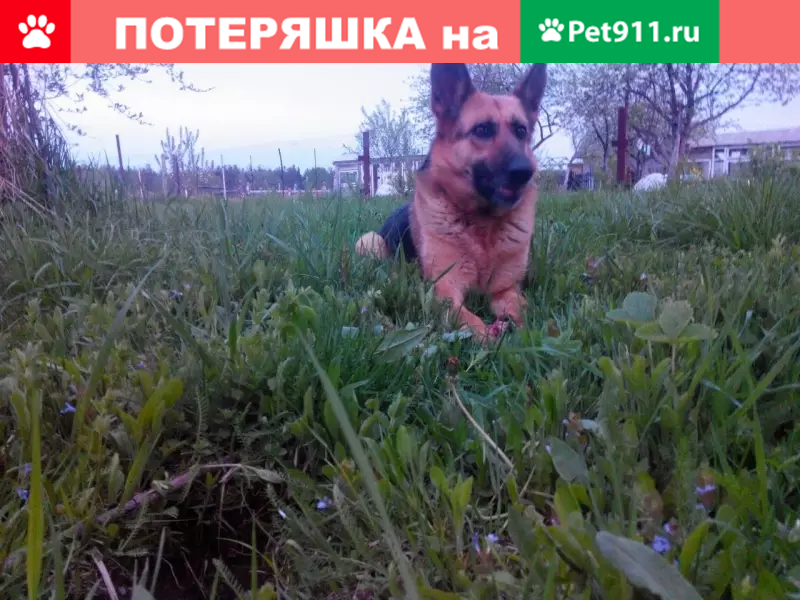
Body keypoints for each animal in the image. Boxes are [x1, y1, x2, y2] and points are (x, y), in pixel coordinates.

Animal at [355, 63, 547, 342]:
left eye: (520, 131)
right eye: (482, 130)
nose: (525, 172)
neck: (483, 224)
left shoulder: (506, 289)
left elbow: (522, 308)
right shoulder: (445, 288)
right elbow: (468, 318)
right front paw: (487, 337)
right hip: (369, 242)